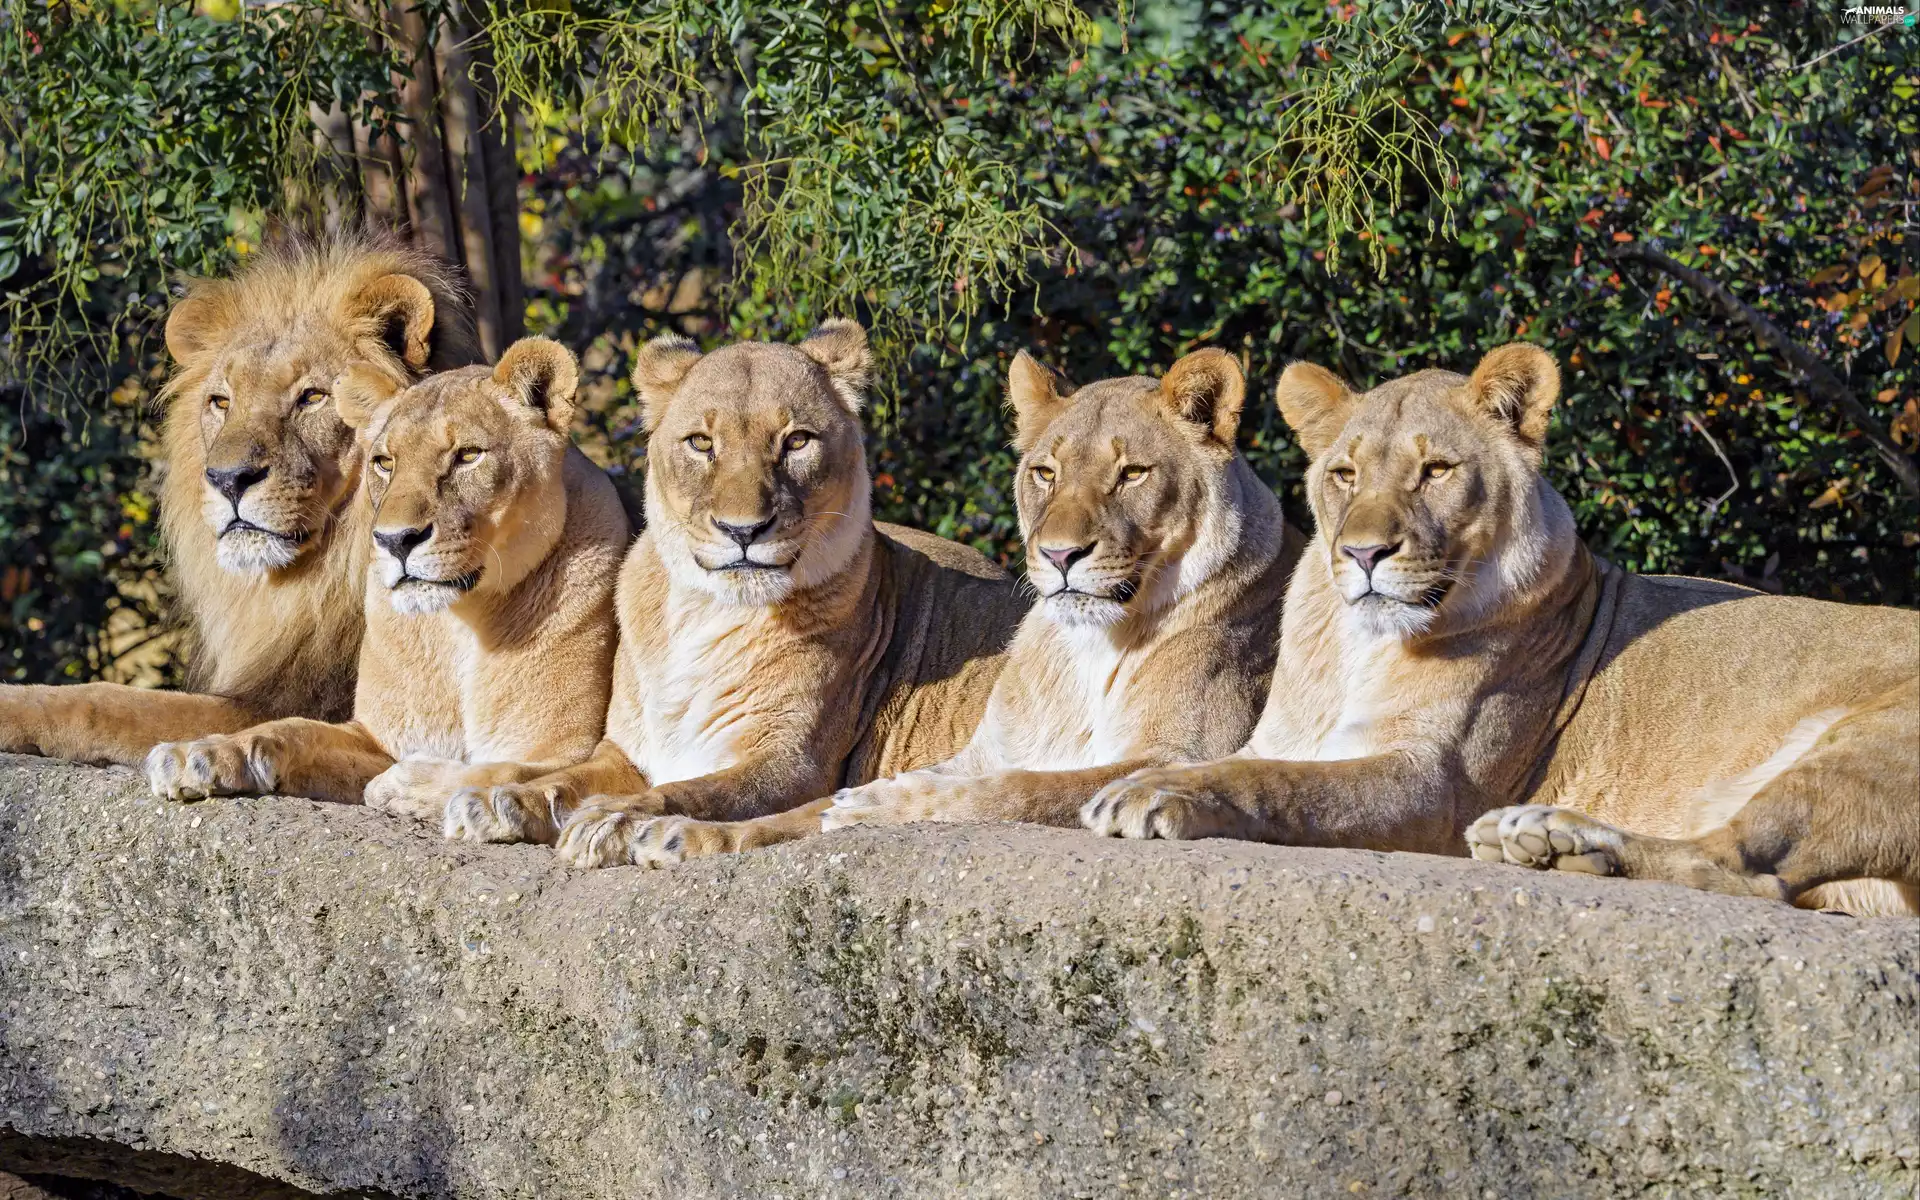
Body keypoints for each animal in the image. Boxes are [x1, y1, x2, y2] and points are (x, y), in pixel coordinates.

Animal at [0, 230, 478, 766]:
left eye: (313, 397)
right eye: (221, 402)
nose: (227, 479)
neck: (322, 580)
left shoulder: (302, 703)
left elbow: (107, 703)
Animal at [144, 338, 630, 811]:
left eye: (468, 456)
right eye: (384, 462)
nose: (396, 541)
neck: (463, 623)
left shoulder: (566, 751)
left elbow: (510, 772)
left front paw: (408, 783)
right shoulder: (375, 737)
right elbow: (287, 729)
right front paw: (199, 753)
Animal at [440, 321, 1027, 859]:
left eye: (796, 441)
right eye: (702, 444)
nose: (744, 531)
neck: (705, 611)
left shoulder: (793, 763)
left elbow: (693, 790)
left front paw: (616, 820)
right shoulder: (626, 751)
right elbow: (563, 779)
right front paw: (498, 800)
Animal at [602, 347, 1303, 865]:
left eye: (1133, 474)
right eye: (1045, 474)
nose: (1060, 555)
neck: (1089, 649)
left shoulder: (1180, 757)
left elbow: (1022, 790)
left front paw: (885, 803)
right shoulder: (981, 752)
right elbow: (804, 811)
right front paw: (690, 834)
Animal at [1082, 345, 1918, 917]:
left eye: (1437, 471)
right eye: (1345, 474)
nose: (1363, 553)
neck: (1355, 649)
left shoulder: (1436, 787)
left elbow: (1280, 785)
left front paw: (1148, 793)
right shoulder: (1279, 738)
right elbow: (1249, 765)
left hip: (1870, 744)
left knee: (1745, 870)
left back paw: (1558, 841)